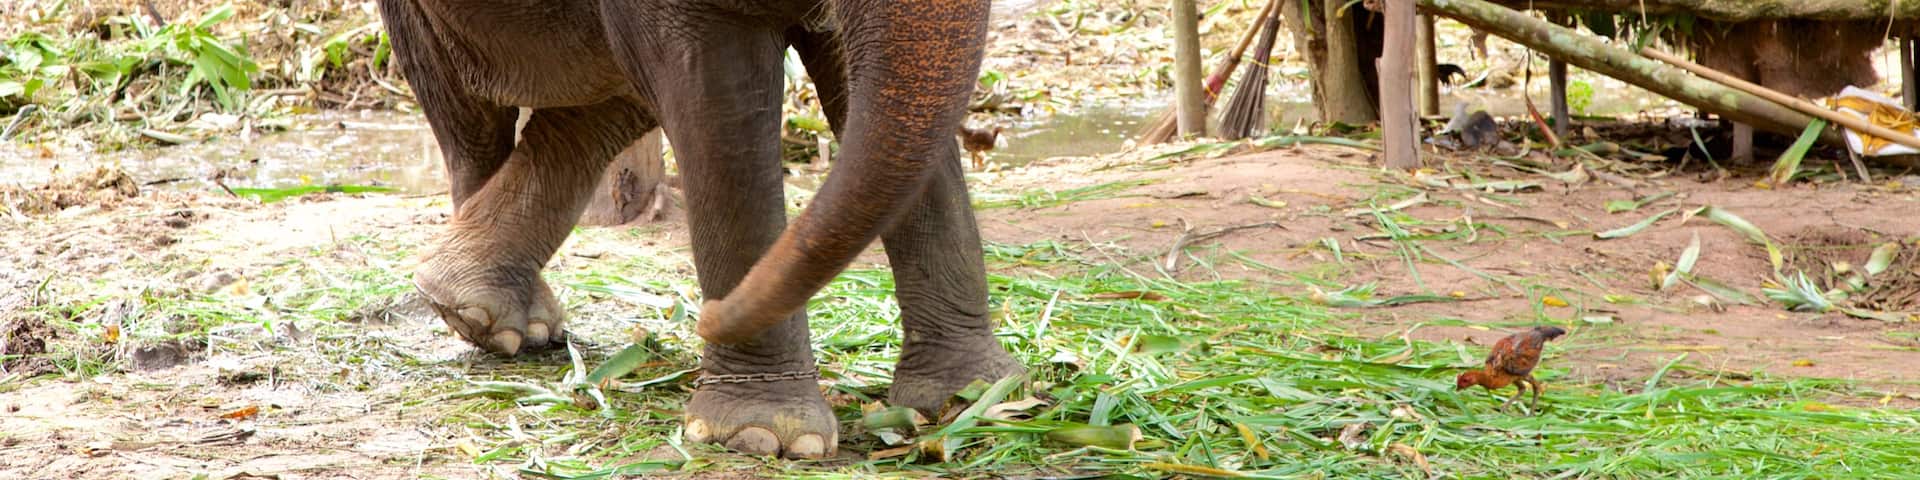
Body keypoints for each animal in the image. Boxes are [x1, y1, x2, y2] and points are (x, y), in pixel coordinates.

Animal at [377, 0, 1025, 459]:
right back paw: (491, 319)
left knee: (609, 98)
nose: (706, 314)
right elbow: (719, 104)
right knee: (470, 117)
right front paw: (765, 437)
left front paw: (975, 398)